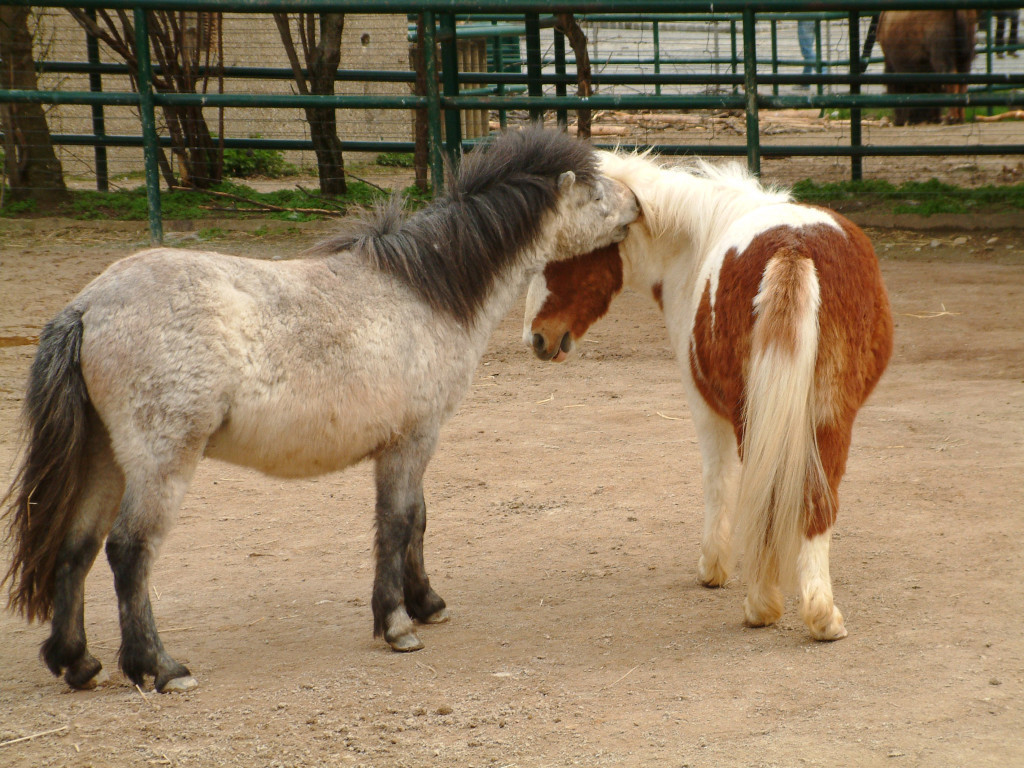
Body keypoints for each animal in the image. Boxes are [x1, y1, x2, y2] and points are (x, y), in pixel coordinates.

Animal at [2, 129, 638, 696]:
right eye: (595, 192)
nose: (636, 204)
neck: (425, 292)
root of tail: (87, 307)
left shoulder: (411, 441)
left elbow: (417, 520)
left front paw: (426, 603)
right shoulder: (413, 440)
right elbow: (399, 523)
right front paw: (398, 625)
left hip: (105, 456)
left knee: (77, 546)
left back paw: (78, 663)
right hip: (162, 462)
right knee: (129, 551)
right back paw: (160, 668)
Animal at [524, 150, 892, 643]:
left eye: (562, 253)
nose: (537, 338)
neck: (697, 240)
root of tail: (794, 247)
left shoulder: (705, 409)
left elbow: (718, 481)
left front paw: (712, 568)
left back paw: (761, 605)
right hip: (831, 415)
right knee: (817, 501)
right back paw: (821, 616)